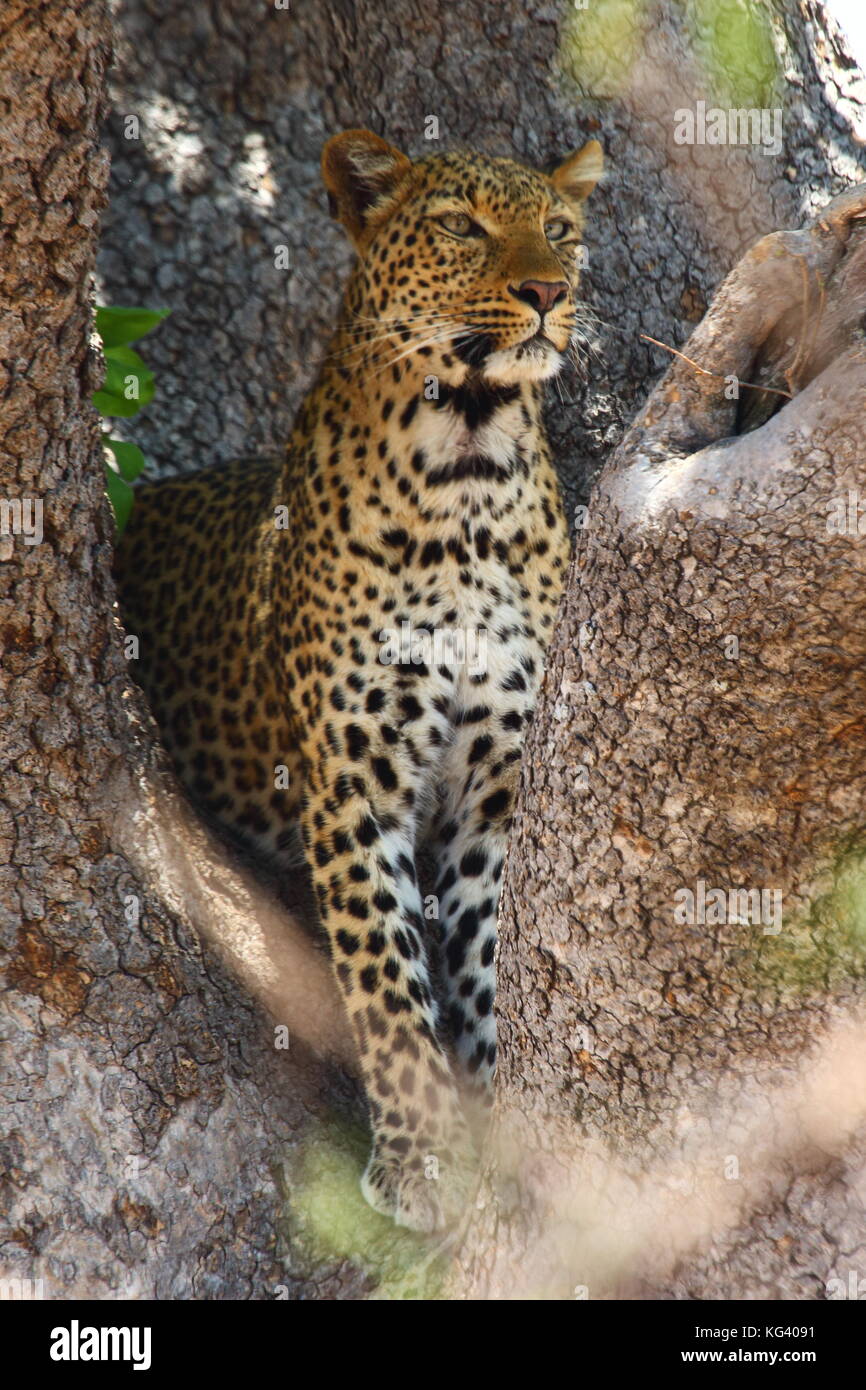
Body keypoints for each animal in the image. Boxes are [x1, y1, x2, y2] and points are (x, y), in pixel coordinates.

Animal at [115, 130, 603, 1234]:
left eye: (558, 228)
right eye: (461, 225)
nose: (547, 290)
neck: (468, 467)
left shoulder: (494, 787)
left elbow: (484, 956)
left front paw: (489, 1116)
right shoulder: (352, 779)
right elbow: (384, 969)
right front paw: (422, 1158)